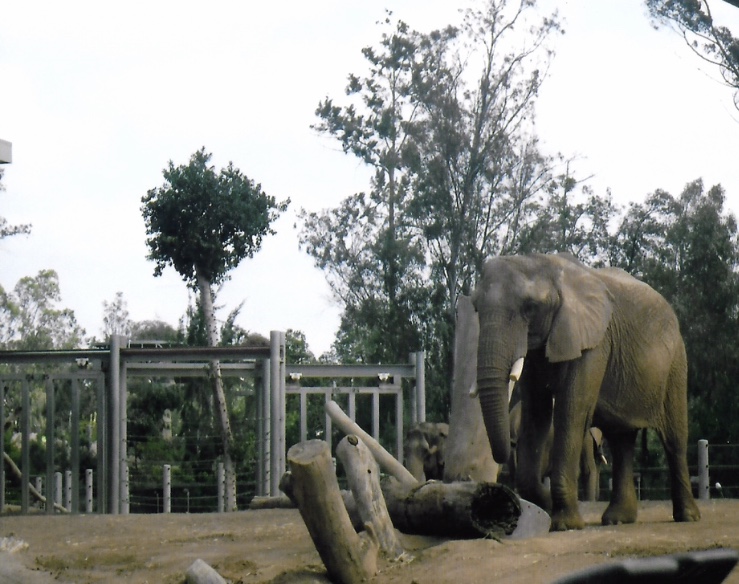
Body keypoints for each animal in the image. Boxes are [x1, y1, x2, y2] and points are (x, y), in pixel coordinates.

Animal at [472, 253, 701, 530]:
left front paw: (564, 524)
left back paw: (688, 517)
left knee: (674, 439)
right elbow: (536, 414)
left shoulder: (594, 344)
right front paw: (546, 507)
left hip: (675, 364)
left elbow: (571, 411)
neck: (548, 264)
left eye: (530, 307)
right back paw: (617, 520)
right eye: (475, 307)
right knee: (621, 441)